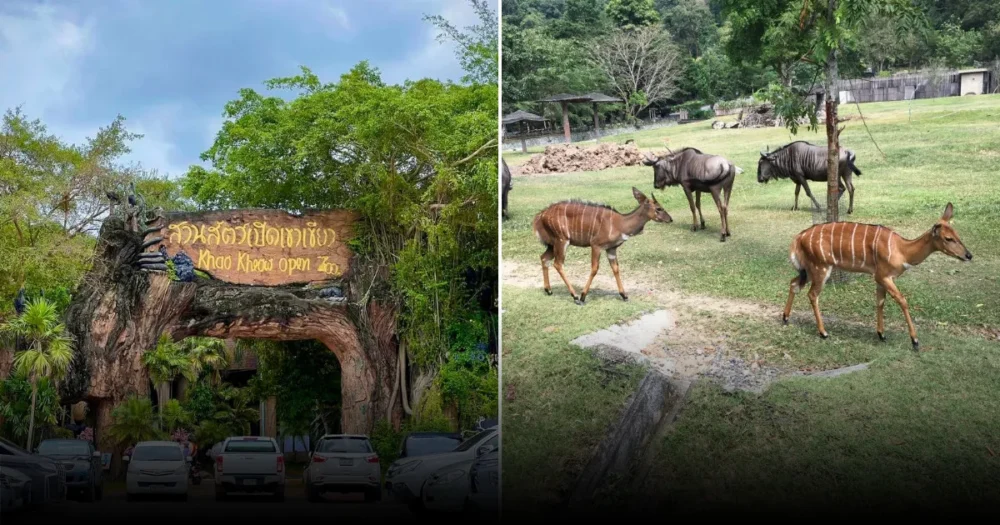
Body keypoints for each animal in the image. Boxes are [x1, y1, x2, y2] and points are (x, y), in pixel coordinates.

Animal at [532, 187, 672, 302]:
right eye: (659, 208)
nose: (670, 219)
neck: (620, 224)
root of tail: (539, 216)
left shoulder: (611, 249)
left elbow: (616, 269)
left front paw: (624, 295)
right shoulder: (596, 245)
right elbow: (595, 268)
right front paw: (583, 296)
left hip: (552, 244)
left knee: (544, 258)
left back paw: (549, 290)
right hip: (562, 240)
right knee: (558, 263)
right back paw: (575, 296)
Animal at [784, 203, 972, 350]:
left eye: (958, 235)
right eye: (948, 238)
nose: (968, 255)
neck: (902, 250)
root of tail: (798, 238)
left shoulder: (881, 279)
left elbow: (880, 302)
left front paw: (881, 334)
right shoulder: (883, 276)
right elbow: (902, 300)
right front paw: (915, 341)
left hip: (809, 269)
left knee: (794, 283)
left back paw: (785, 318)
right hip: (821, 268)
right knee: (812, 294)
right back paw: (823, 332)